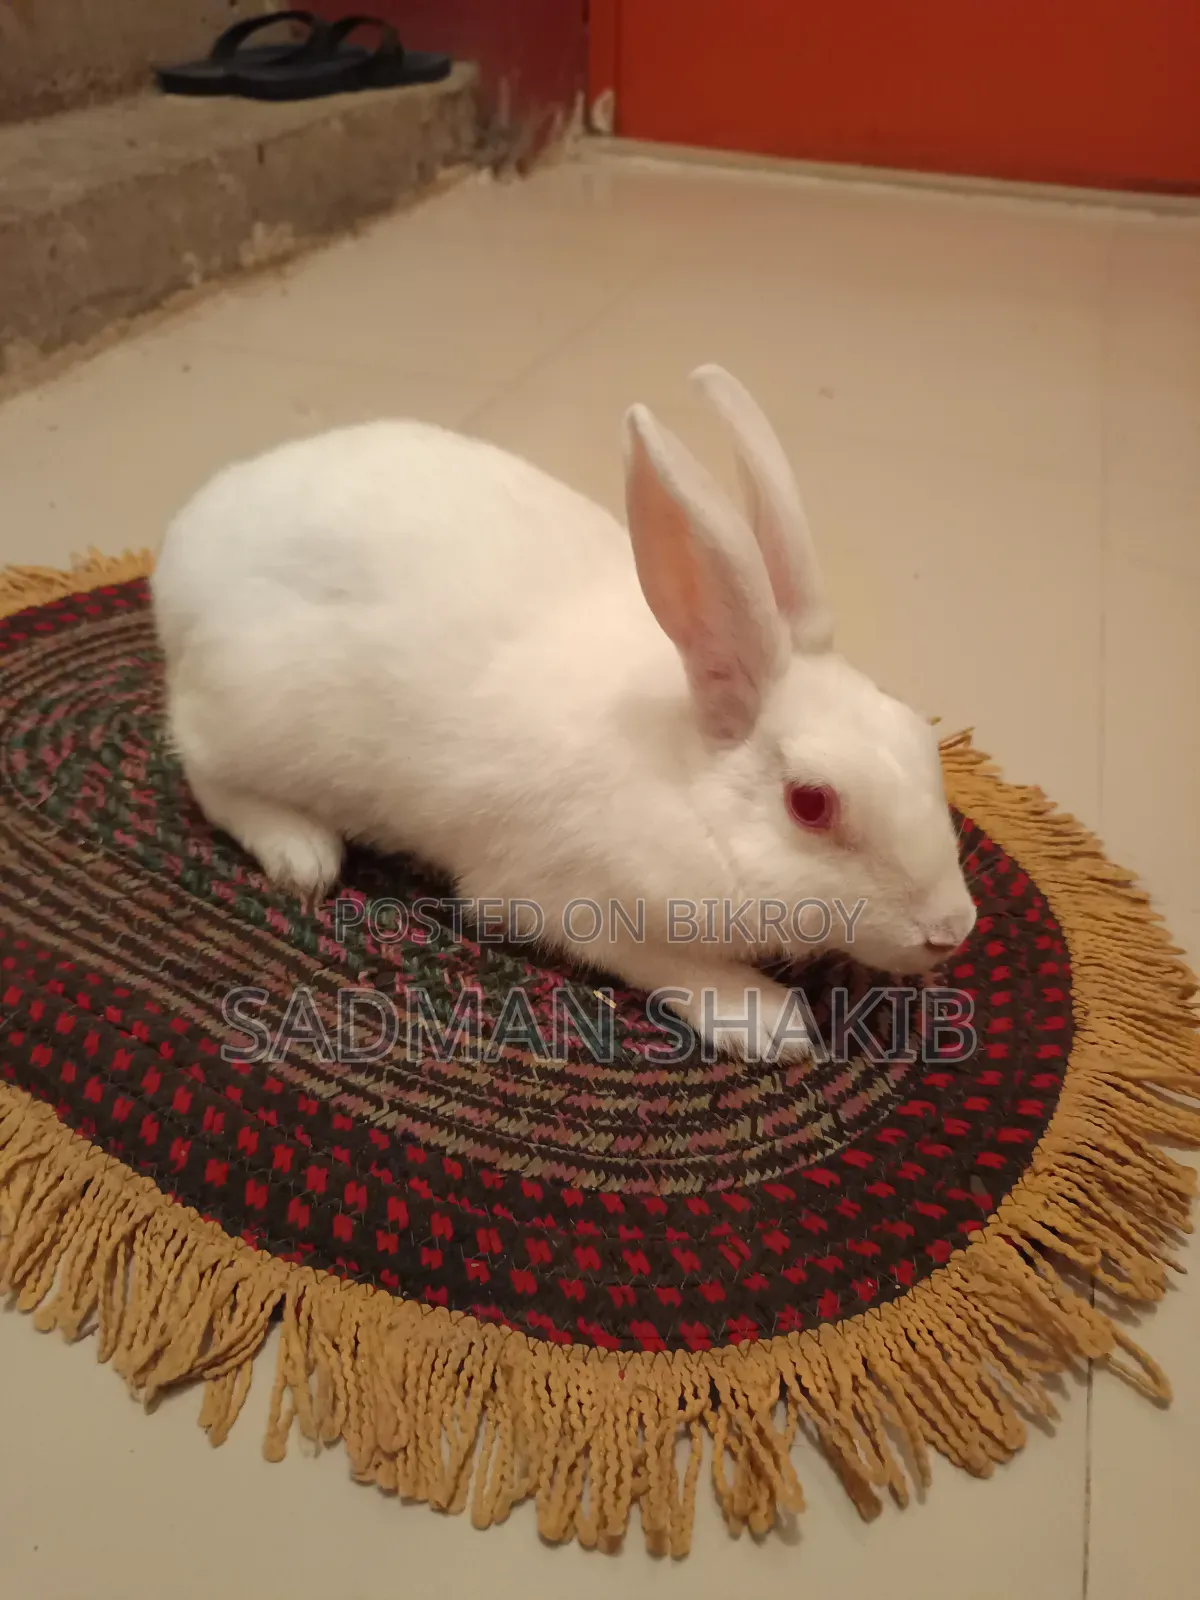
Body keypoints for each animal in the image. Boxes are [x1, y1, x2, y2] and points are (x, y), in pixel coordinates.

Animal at [151, 364, 976, 1064]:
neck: (681, 777)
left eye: (918, 736)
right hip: (255, 712)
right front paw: (768, 1022)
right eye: (811, 803)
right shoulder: (562, 897)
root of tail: (177, 562)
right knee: (197, 761)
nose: (952, 930)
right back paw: (303, 853)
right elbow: (663, 958)